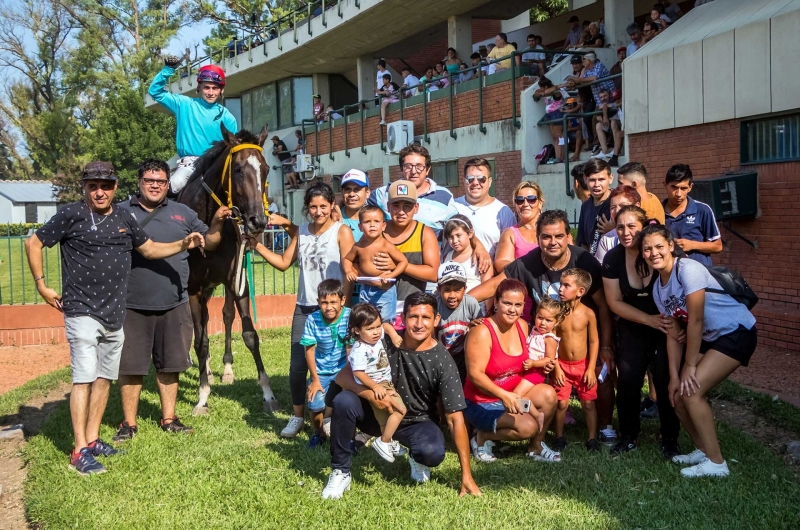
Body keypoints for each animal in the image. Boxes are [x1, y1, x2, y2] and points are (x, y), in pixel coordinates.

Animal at [178, 124, 282, 412]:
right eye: (237, 169)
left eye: (265, 168)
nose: (258, 221)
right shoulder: (193, 287)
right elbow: (200, 340)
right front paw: (202, 395)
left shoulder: (237, 279)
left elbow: (249, 334)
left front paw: (268, 393)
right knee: (202, 325)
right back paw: (207, 371)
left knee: (224, 315)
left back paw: (224, 370)